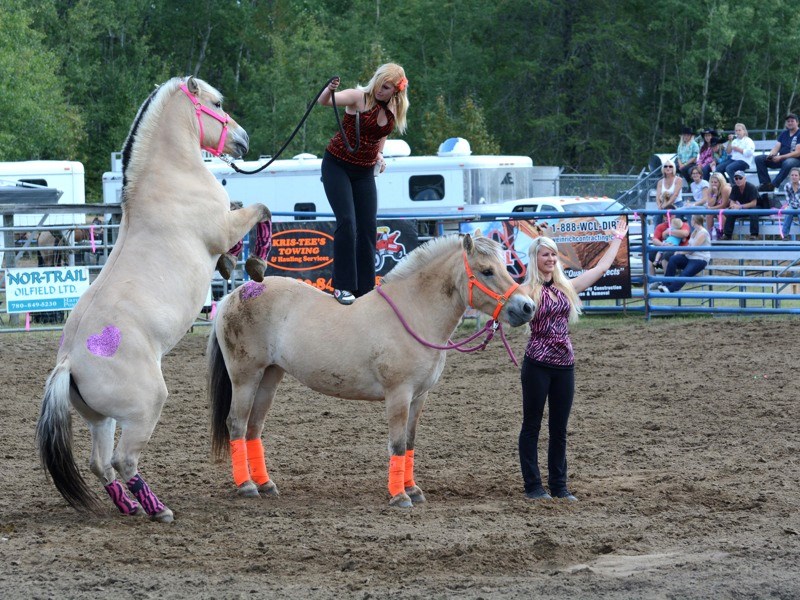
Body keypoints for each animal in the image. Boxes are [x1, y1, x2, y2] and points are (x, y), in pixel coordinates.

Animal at [36, 77, 272, 524]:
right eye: (218, 104)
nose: (244, 140)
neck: (170, 177)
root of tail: (68, 364)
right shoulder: (223, 224)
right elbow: (261, 210)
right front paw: (254, 262)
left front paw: (232, 263)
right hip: (145, 408)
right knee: (124, 460)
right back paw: (157, 508)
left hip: (102, 420)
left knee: (100, 463)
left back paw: (128, 505)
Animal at [206, 233, 536, 506]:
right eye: (486, 271)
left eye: (505, 267)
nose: (527, 307)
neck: (414, 313)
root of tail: (233, 294)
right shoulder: (398, 395)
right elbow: (397, 444)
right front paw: (400, 496)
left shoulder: (419, 397)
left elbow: (410, 442)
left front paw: (413, 490)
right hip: (245, 377)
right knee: (237, 424)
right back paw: (247, 486)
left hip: (270, 376)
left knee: (253, 428)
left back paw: (265, 485)